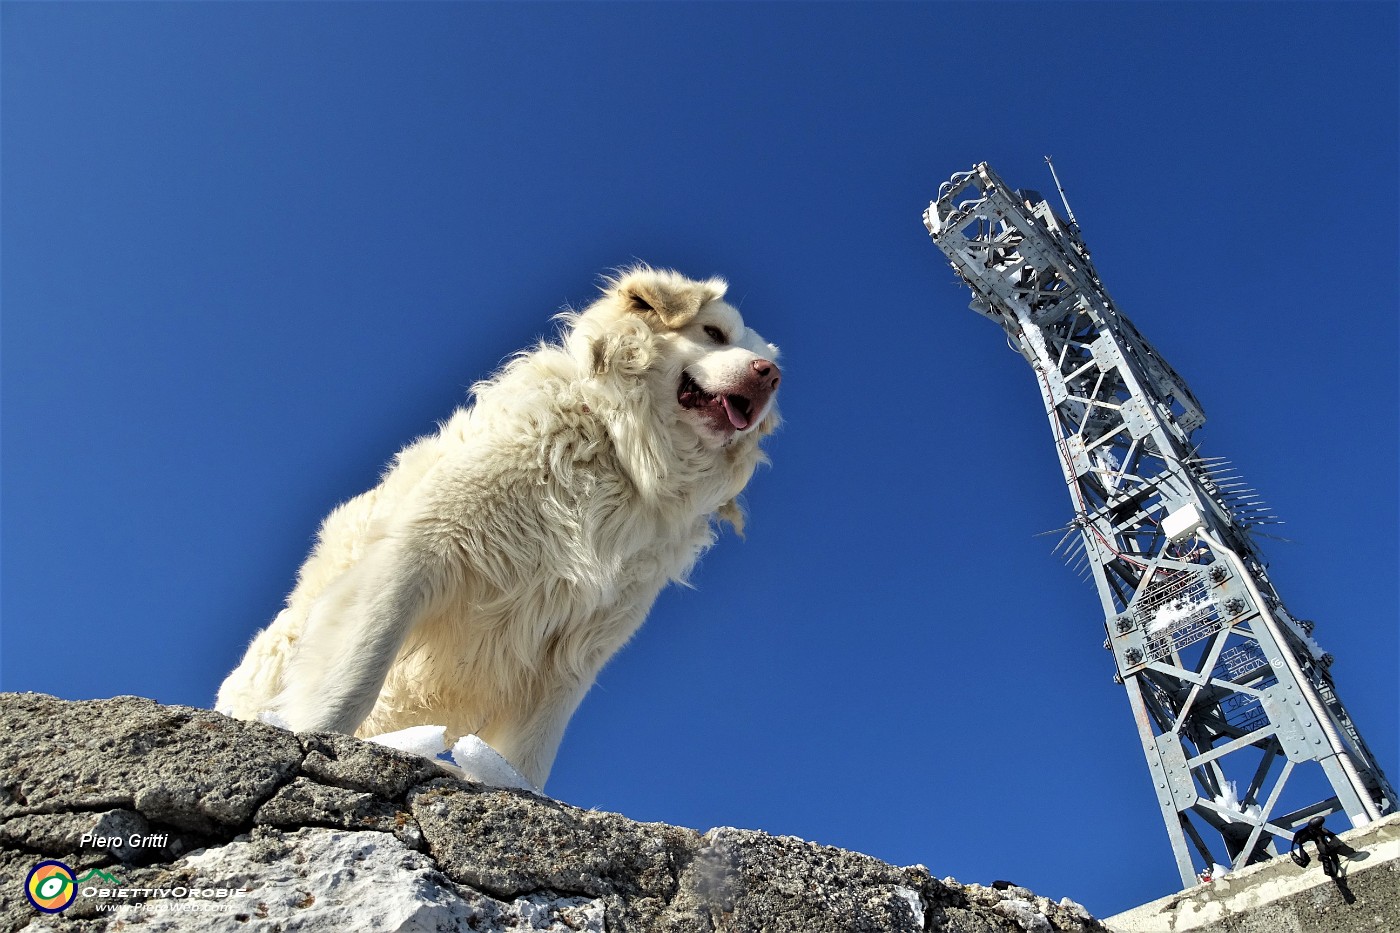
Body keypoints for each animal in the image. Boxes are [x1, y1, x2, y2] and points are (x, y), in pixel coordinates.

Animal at [222, 263, 784, 784]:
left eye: (771, 366)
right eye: (713, 333)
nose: (770, 375)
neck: (620, 452)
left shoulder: (573, 651)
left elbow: (532, 749)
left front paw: (510, 786)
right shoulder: (414, 557)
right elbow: (353, 677)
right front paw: (318, 739)